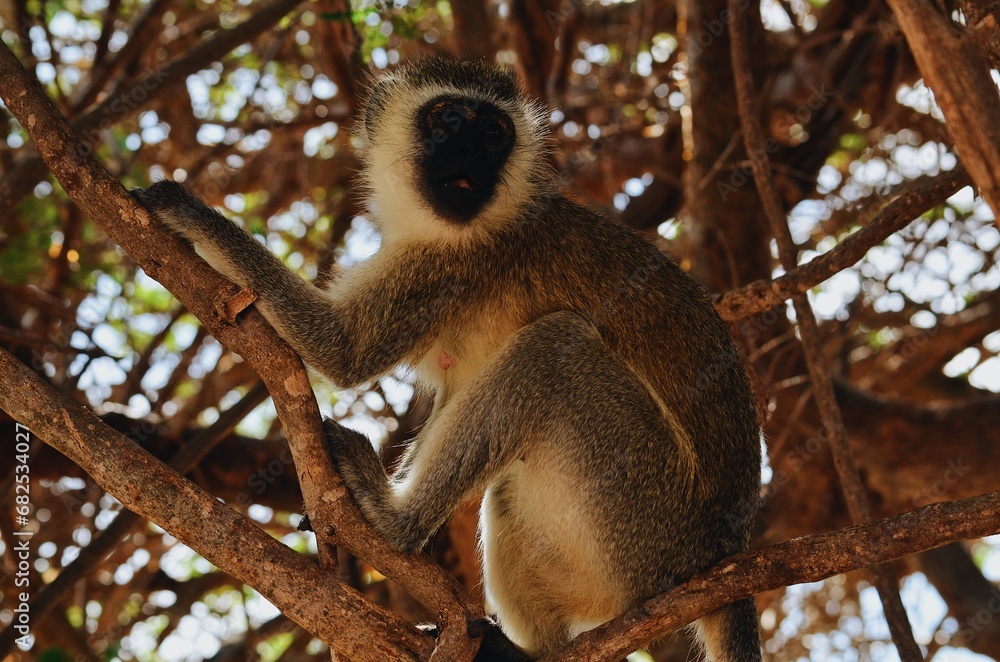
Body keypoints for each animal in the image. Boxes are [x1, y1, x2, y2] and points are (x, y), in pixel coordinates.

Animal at [135, 57, 762, 661]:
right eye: (447, 119)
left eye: (493, 133)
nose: (467, 154)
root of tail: (719, 555)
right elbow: (445, 396)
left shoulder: (450, 266)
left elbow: (344, 349)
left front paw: (180, 209)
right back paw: (525, 650)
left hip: (644, 514)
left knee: (555, 349)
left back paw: (397, 526)